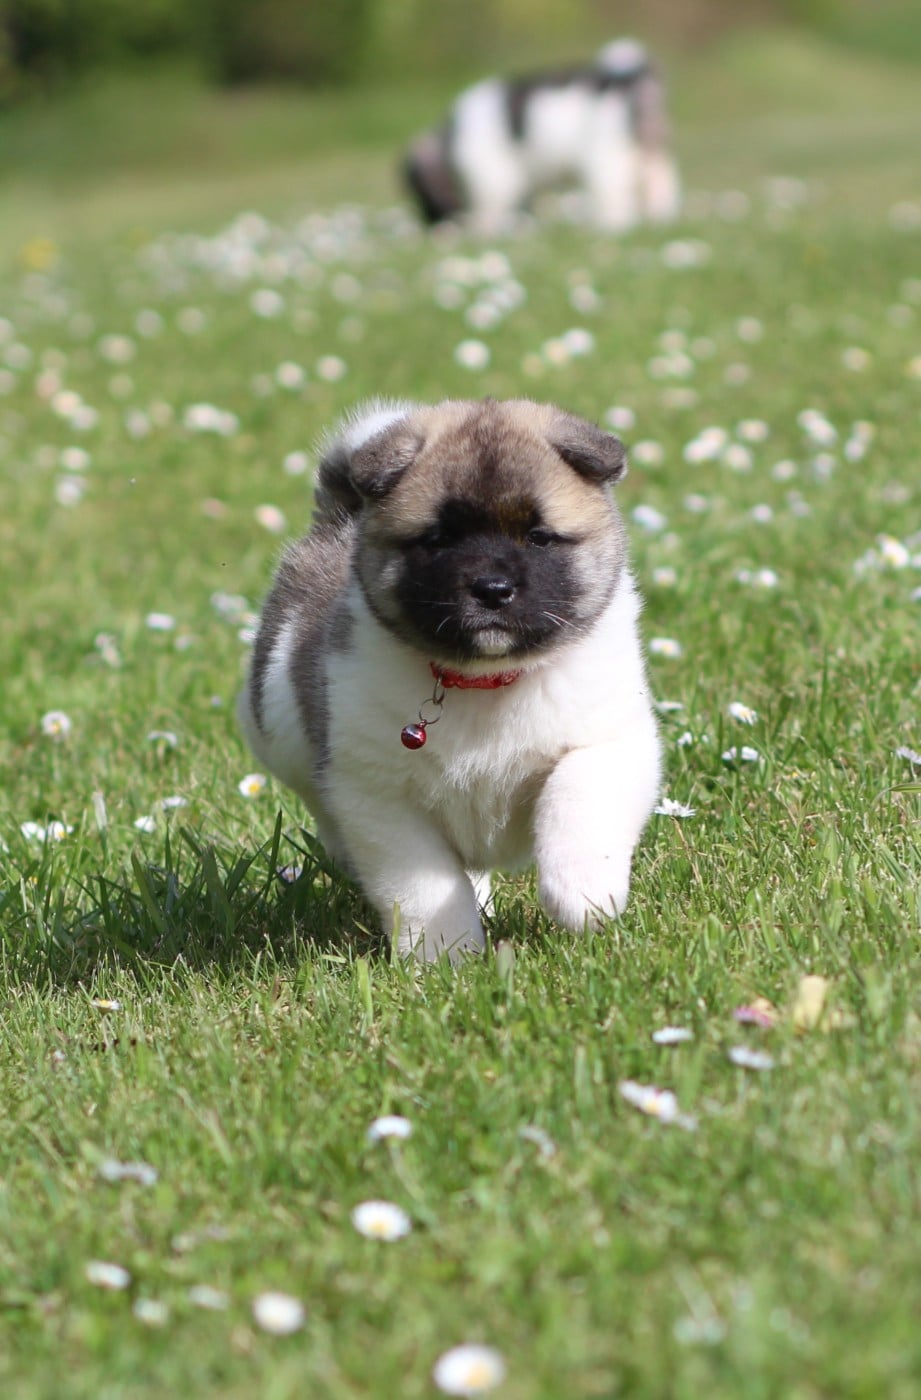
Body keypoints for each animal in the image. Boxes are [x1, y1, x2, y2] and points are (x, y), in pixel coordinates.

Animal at [239, 398, 662, 961]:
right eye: (438, 539)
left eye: (538, 536)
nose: (492, 588)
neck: (487, 683)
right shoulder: (381, 797)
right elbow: (427, 885)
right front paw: (447, 956)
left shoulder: (608, 744)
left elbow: (576, 802)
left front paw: (584, 896)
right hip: (282, 739)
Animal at [404, 39, 680, 234]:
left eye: (419, 191)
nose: (435, 229)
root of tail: (632, 80)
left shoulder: (492, 179)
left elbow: (489, 212)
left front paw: (483, 233)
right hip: (651, 155)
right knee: (661, 186)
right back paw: (660, 220)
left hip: (609, 157)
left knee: (614, 197)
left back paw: (611, 226)